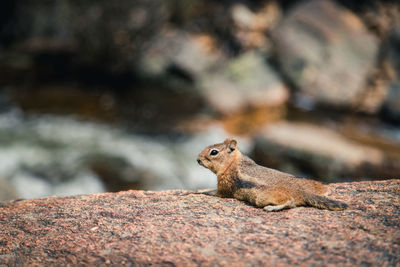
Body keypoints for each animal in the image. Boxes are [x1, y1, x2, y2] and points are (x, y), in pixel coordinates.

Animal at [197, 138, 346, 211]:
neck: (232, 163)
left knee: (289, 201)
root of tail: (303, 191)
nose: (198, 159)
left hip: (261, 197)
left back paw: (271, 208)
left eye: (214, 152)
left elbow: (214, 192)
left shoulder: (225, 187)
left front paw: (200, 190)